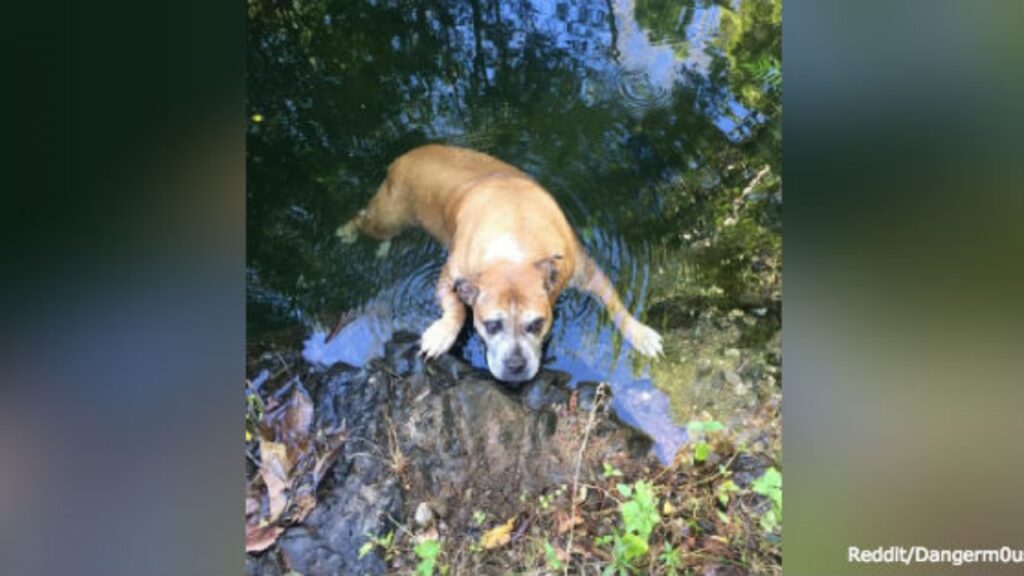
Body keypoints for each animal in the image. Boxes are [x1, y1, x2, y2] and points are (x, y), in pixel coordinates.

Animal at [339, 142, 663, 381]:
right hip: (389, 213)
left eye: (537, 324)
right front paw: (442, 334)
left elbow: (615, 302)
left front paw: (641, 334)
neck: (515, 247)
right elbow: (456, 307)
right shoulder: (449, 276)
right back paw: (346, 232)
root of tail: (404, 157)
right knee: (363, 219)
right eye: (491, 325)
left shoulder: (585, 270)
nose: (516, 366)